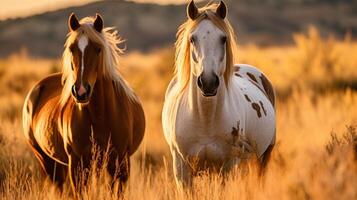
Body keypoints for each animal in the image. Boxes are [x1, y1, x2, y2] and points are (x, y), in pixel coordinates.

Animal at [22, 13, 144, 194]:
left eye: (98, 49)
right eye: (71, 48)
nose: (80, 91)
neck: (101, 117)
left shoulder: (121, 163)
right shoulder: (77, 164)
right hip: (46, 160)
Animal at [161, 0, 276, 187]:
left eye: (223, 38)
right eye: (192, 39)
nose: (208, 82)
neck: (205, 119)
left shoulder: (226, 167)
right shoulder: (182, 169)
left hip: (262, 159)